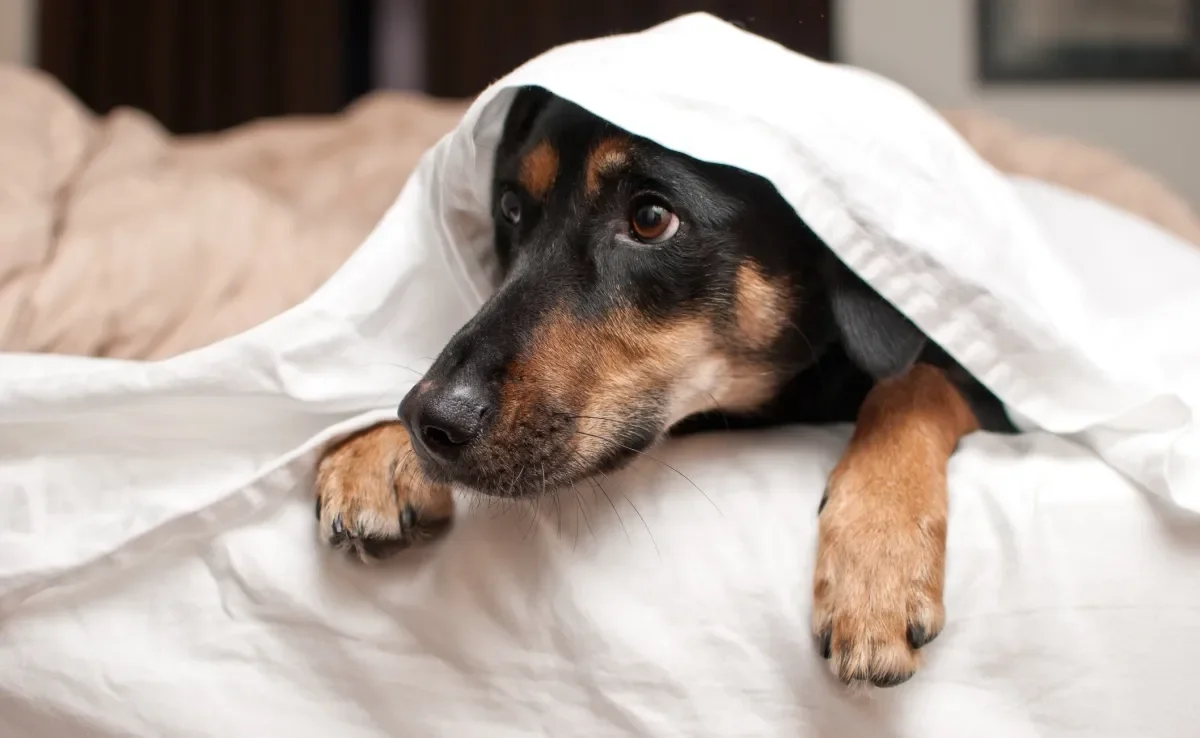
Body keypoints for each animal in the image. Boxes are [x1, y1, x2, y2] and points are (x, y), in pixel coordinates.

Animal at [309, 88, 1012, 691]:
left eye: (650, 218)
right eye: (510, 209)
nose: (428, 419)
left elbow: (911, 381)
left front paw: (877, 562)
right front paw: (375, 447)